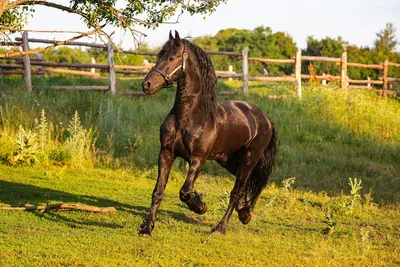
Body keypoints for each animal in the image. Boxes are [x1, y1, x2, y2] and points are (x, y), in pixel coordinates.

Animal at [140, 30, 278, 237]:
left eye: (172, 57)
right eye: (158, 56)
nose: (146, 84)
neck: (188, 117)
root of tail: (265, 118)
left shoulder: (198, 159)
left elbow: (185, 191)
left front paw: (200, 206)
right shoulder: (166, 153)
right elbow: (158, 192)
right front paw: (147, 228)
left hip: (249, 160)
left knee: (236, 192)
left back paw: (220, 228)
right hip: (229, 161)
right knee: (244, 187)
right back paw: (244, 213)